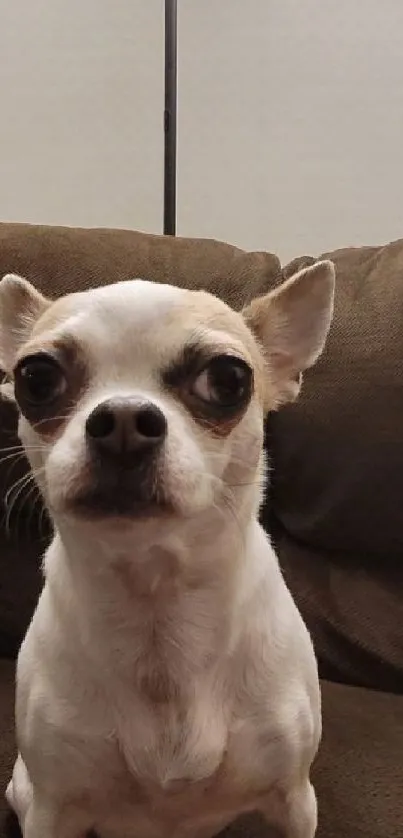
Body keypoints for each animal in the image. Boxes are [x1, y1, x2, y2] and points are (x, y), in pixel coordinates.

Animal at [0, 264, 334, 838]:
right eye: (36, 377)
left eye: (228, 379)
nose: (123, 420)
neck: (156, 600)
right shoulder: (51, 809)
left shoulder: (294, 800)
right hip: (21, 790)